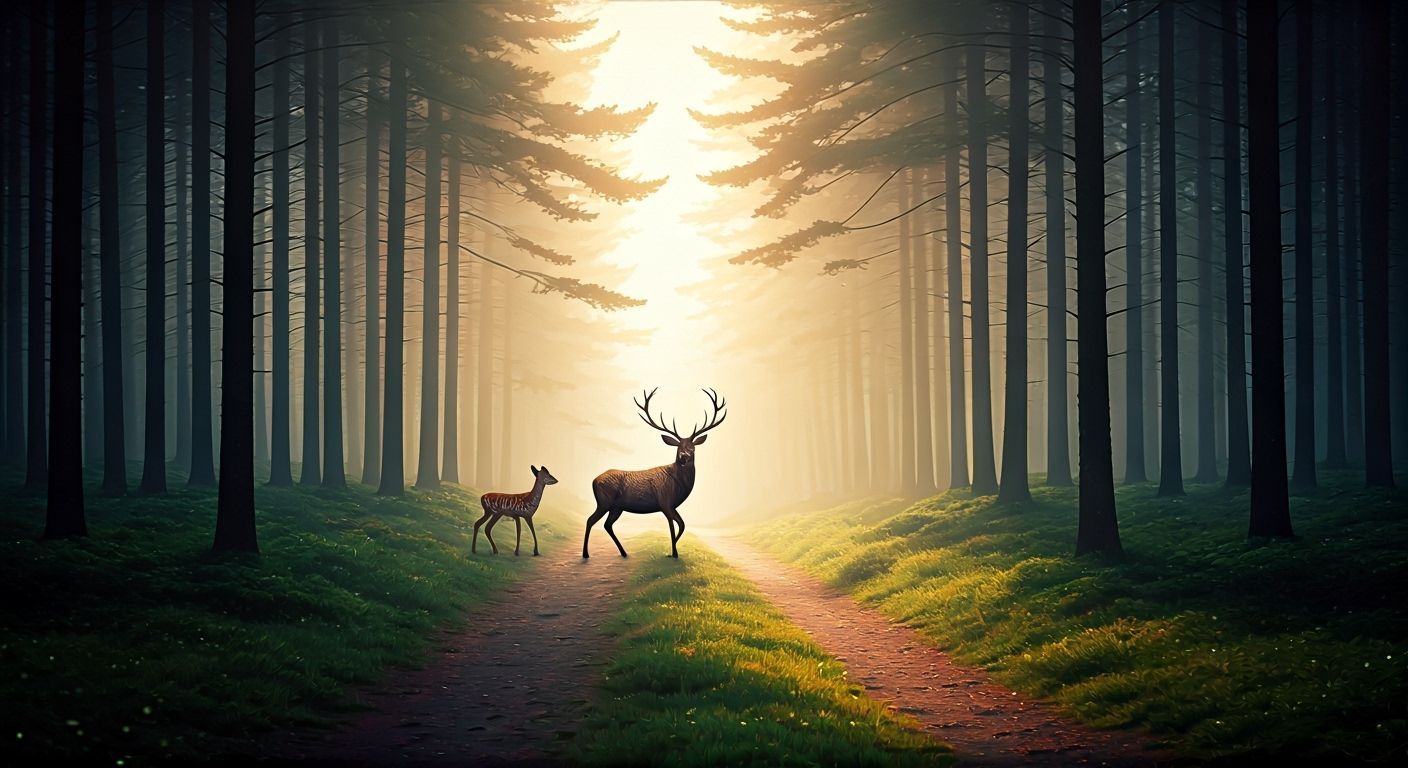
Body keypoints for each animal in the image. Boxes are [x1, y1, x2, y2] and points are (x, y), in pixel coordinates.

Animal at [583, 388, 727, 559]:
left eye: (693, 447)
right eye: (678, 447)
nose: (683, 456)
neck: (680, 484)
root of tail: (593, 481)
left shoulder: (671, 505)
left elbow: (682, 525)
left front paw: (673, 551)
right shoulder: (665, 501)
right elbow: (673, 526)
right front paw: (674, 553)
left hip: (617, 507)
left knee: (607, 525)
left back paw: (624, 553)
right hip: (604, 502)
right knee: (590, 520)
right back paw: (585, 554)